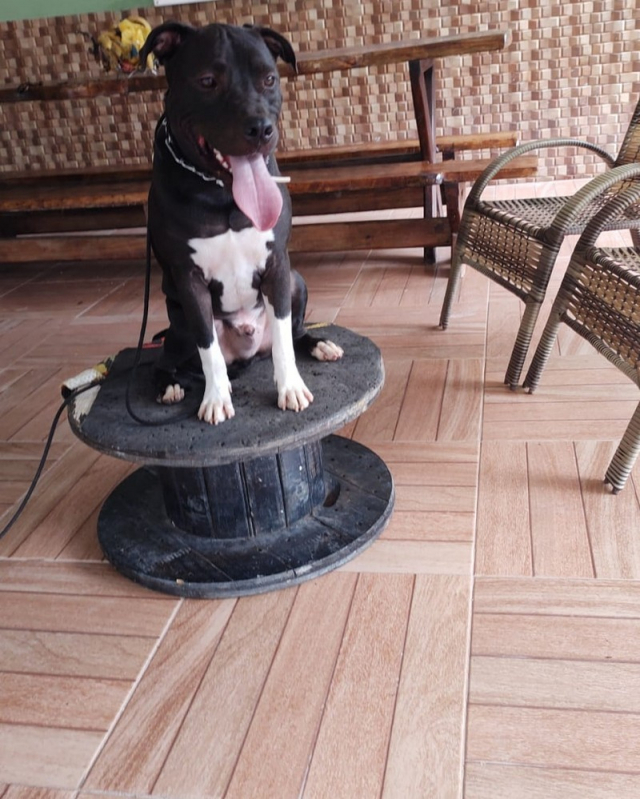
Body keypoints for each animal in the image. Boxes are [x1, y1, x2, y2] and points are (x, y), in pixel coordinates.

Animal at [138, 21, 342, 424]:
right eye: (207, 81)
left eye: (269, 79)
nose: (260, 128)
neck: (222, 190)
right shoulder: (189, 280)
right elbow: (209, 350)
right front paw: (216, 397)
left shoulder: (278, 264)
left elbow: (283, 339)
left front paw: (290, 386)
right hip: (179, 322)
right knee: (166, 357)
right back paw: (168, 384)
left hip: (296, 281)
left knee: (294, 332)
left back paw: (319, 344)